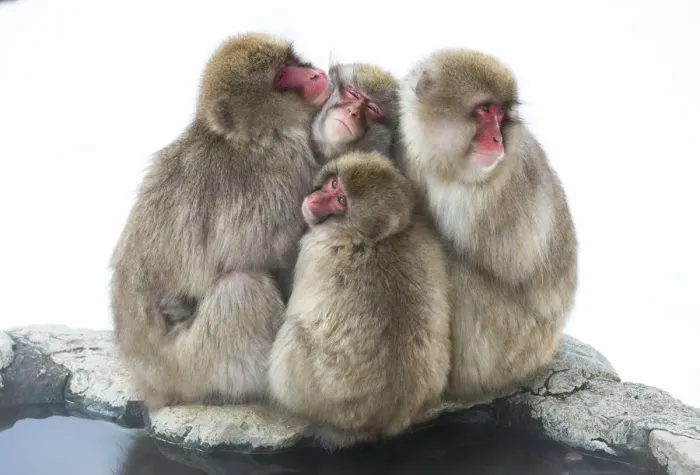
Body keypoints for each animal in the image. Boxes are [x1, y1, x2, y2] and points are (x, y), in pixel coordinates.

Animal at [109, 32, 332, 410]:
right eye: (281, 78)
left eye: (292, 61)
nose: (315, 74)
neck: (254, 136)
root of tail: (150, 379)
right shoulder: (281, 169)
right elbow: (271, 249)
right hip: (193, 365)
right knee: (241, 288)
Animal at [267, 151, 451, 450]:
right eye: (333, 185)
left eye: (341, 201)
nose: (316, 200)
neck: (372, 238)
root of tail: (378, 422)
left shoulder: (313, 250)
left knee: (293, 335)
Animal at [395, 49, 578, 403]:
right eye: (484, 110)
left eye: (500, 113)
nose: (497, 139)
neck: (444, 167)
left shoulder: (492, 195)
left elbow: (505, 263)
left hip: (510, 349)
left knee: (457, 275)